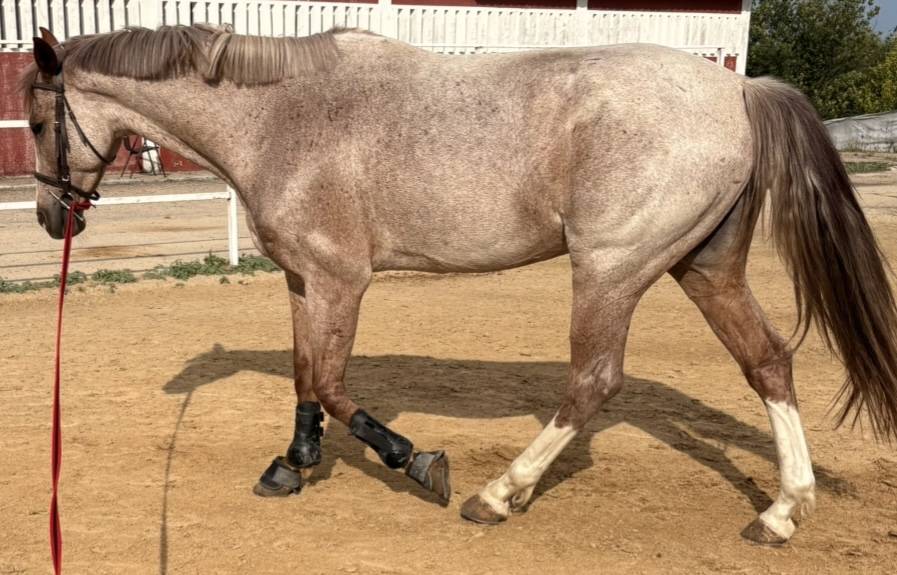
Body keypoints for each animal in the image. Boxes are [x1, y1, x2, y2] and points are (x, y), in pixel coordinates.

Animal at [20, 24, 897, 546]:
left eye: (35, 120)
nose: (48, 217)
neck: (282, 120)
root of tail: (738, 88)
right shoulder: (304, 282)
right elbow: (304, 377)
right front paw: (292, 464)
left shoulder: (340, 280)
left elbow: (334, 384)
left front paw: (414, 460)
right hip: (703, 267)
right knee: (768, 361)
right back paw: (782, 510)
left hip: (611, 269)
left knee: (592, 380)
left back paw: (501, 493)